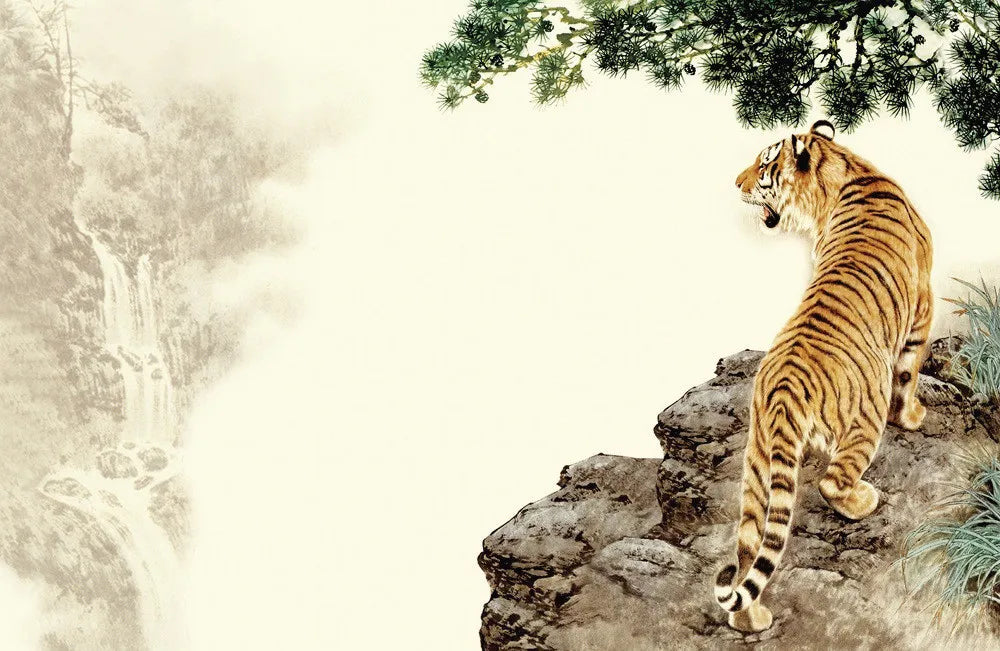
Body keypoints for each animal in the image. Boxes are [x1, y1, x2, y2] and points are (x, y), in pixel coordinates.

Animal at [712, 119, 934, 632]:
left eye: (763, 165)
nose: (735, 183)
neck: (846, 170)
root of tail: (782, 391)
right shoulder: (922, 308)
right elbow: (909, 373)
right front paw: (914, 417)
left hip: (757, 466)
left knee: (749, 547)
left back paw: (752, 621)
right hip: (862, 421)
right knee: (832, 483)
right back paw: (865, 501)